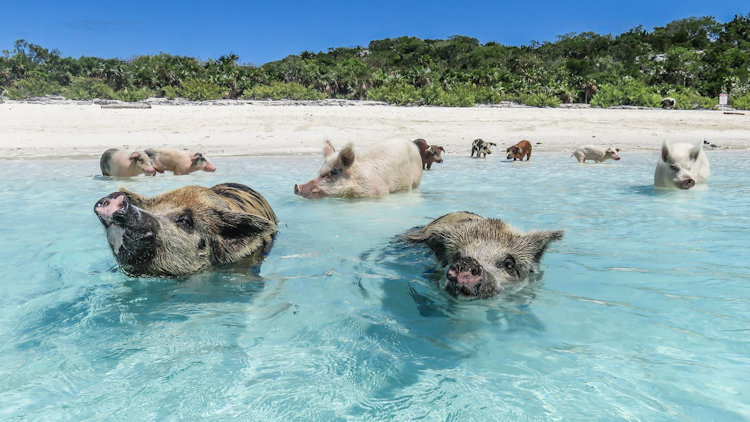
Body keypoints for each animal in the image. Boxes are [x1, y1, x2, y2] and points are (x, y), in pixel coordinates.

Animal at [294, 138, 424, 198]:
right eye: (319, 172)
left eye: (331, 173)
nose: (296, 187)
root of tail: (412, 144)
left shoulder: (379, 191)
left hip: (416, 180)